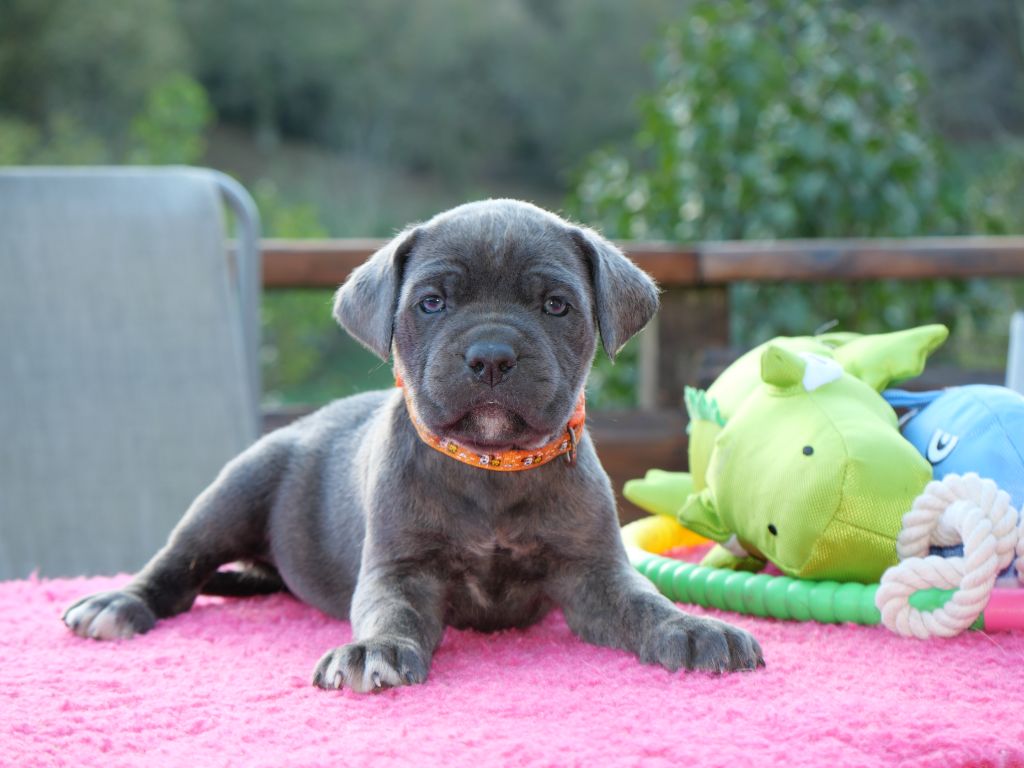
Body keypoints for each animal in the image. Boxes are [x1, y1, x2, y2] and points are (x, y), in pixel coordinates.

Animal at [61, 198, 761, 692]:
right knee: (178, 566)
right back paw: (120, 603)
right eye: (431, 302)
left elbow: (644, 603)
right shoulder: (399, 571)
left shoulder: (596, 575)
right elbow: (391, 615)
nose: (491, 354)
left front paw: (690, 627)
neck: (491, 464)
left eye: (557, 306)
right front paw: (376, 651)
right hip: (232, 494)